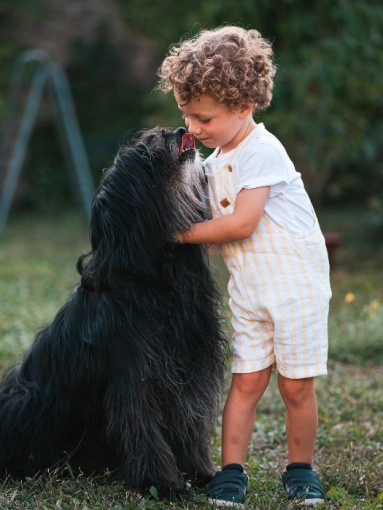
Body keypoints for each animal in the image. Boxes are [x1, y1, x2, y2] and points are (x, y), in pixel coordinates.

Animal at [0, 127, 228, 498]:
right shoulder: (135, 376)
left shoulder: (189, 372)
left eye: (160, 134)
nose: (180, 131)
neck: (156, 278)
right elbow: (144, 431)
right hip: (25, 399)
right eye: (146, 154)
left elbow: (189, 427)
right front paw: (163, 484)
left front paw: (200, 472)